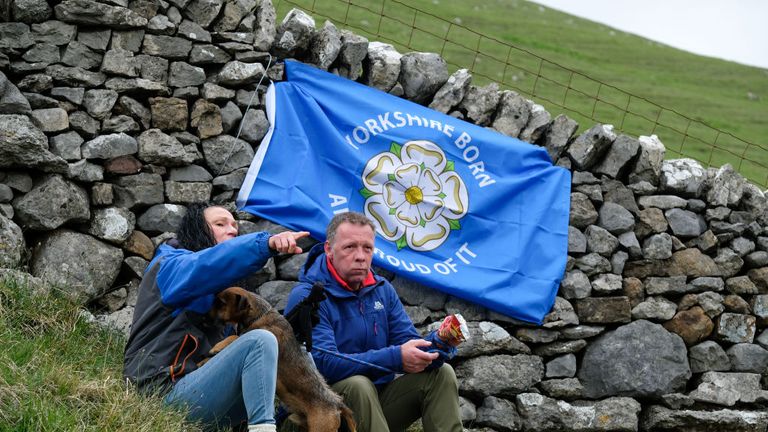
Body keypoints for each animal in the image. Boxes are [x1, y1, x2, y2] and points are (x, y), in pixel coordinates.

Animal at [207, 286, 356, 432]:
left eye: (221, 304)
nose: (205, 317)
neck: (260, 315)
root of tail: (337, 404)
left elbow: (235, 336)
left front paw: (217, 346)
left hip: (320, 427)